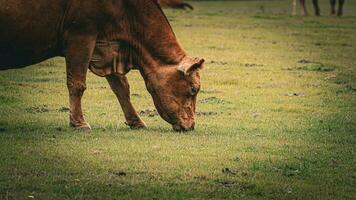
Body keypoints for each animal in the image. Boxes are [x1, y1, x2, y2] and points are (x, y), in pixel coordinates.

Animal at [0, 0, 204, 132]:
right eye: (193, 89)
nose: (191, 126)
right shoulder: (81, 35)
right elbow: (77, 84)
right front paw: (79, 123)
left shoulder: (109, 48)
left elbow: (121, 88)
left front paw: (136, 121)